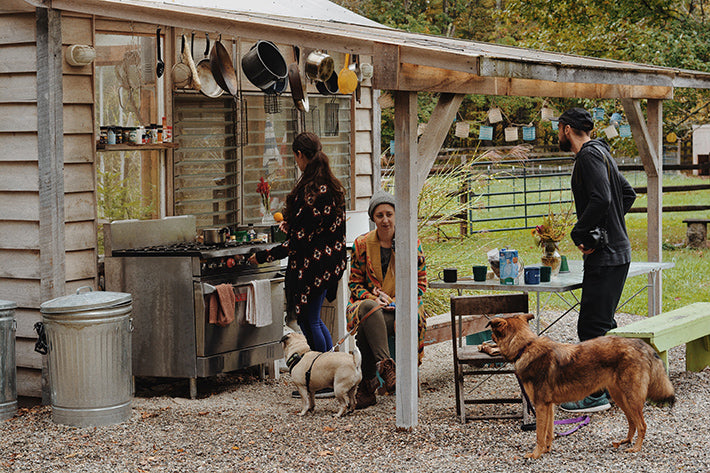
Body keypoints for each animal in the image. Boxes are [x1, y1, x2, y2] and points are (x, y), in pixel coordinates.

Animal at [490, 314, 680, 458]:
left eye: (492, 334)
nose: (487, 340)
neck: (525, 346)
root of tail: (643, 345)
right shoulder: (548, 406)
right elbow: (549, 433)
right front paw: (546, 450)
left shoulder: (541, 405)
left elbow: (539, 435)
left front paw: (535, 454)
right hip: (621, 398)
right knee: (632, 422)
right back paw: (626, 441)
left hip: (631, 398)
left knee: (642, 425)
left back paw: (636, 448)